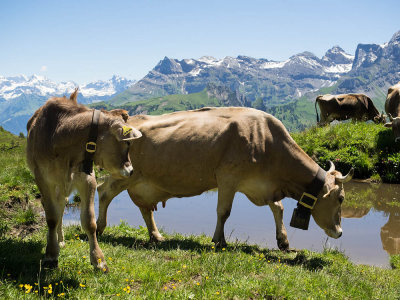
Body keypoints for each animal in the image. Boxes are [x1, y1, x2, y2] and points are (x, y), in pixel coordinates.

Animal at [96, 106, 354, 250]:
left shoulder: (264, 186)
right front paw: (219, 240)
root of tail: (126, 122)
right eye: (341, 198)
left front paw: (283, 241)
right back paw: (99, 228)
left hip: (142, 182)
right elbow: (224, 212)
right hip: (126, 174)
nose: (340, 232)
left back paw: (156, 235)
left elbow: (278, 208)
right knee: (103, 191)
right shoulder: (228, 178)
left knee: (145, 208)